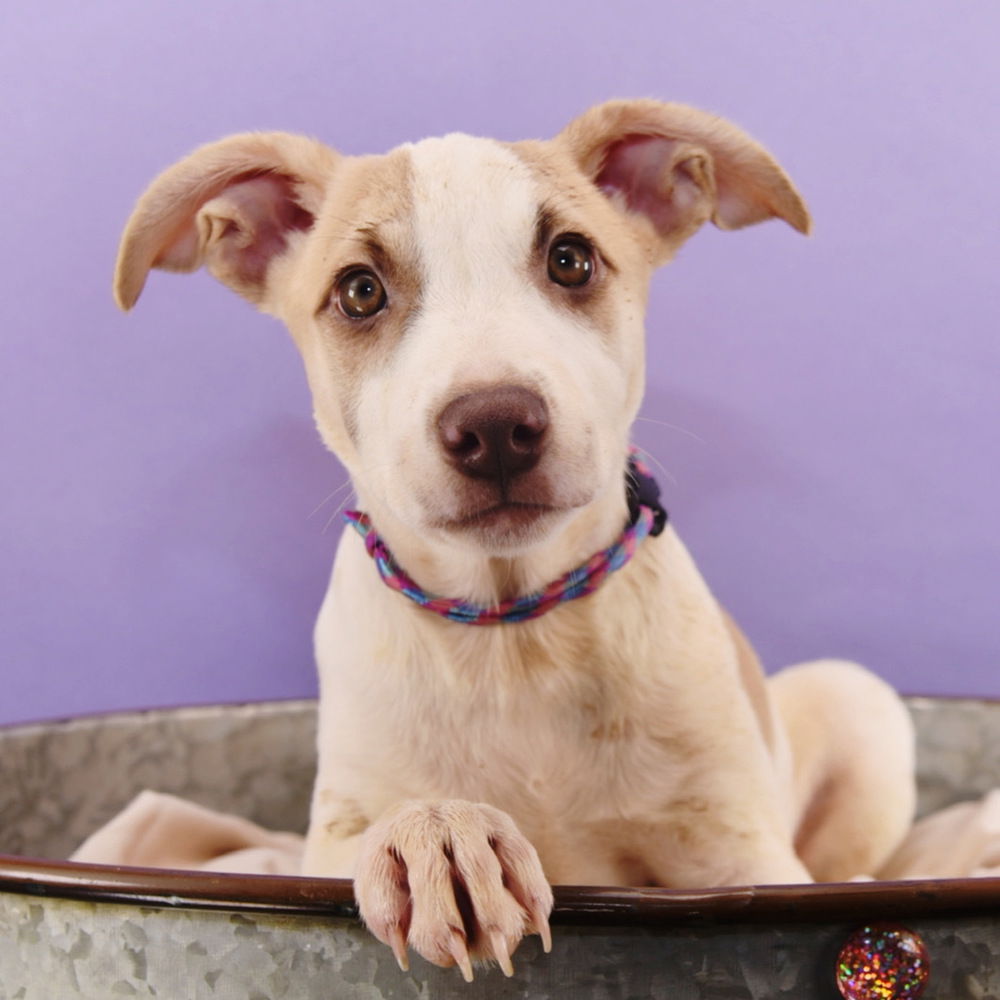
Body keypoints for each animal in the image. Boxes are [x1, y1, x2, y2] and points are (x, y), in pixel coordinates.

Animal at [113, 99, 916, 976]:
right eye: (360, 291)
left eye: (570, 260)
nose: (495, 425)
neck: (513, 635)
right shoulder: (325, 837)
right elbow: (375, 829)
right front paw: (439, 835)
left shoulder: (742, 856)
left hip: (855, 702)